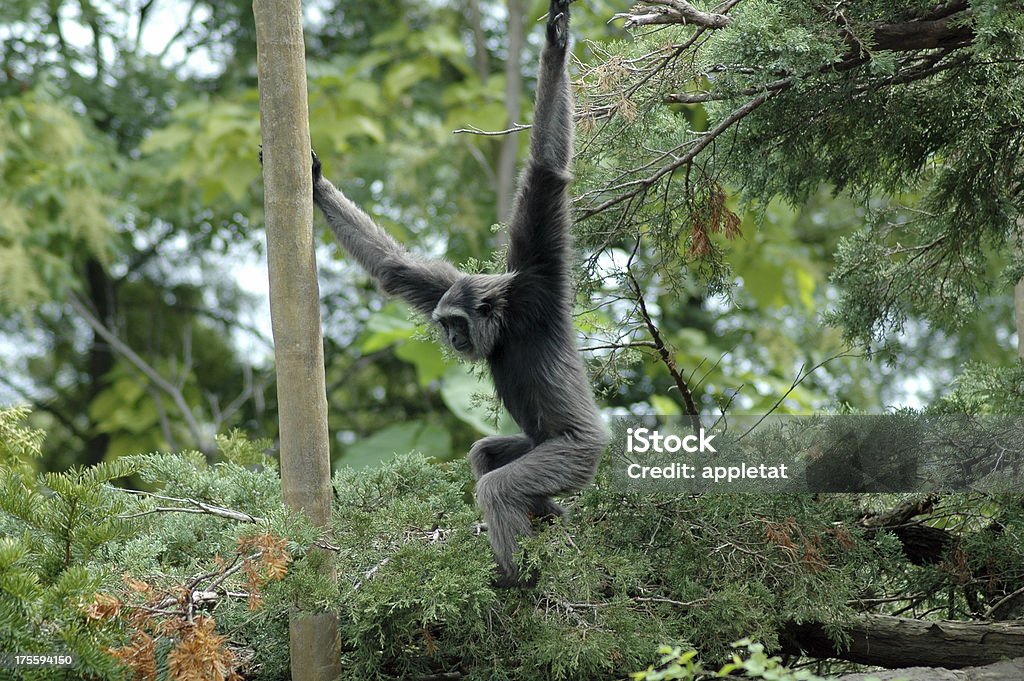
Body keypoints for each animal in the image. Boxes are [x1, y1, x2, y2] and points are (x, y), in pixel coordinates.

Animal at [307, 0, 602, 585]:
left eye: (457, 324)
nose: (452, 339)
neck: (508, 323)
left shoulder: (536, 284)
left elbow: (547, 173)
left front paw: (556, 39)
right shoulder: (448, 287)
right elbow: (396, 270)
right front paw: (315, 183)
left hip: (574, 454)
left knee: (498, 485)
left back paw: (516, 577)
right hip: (536, 448)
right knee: (487, 454)